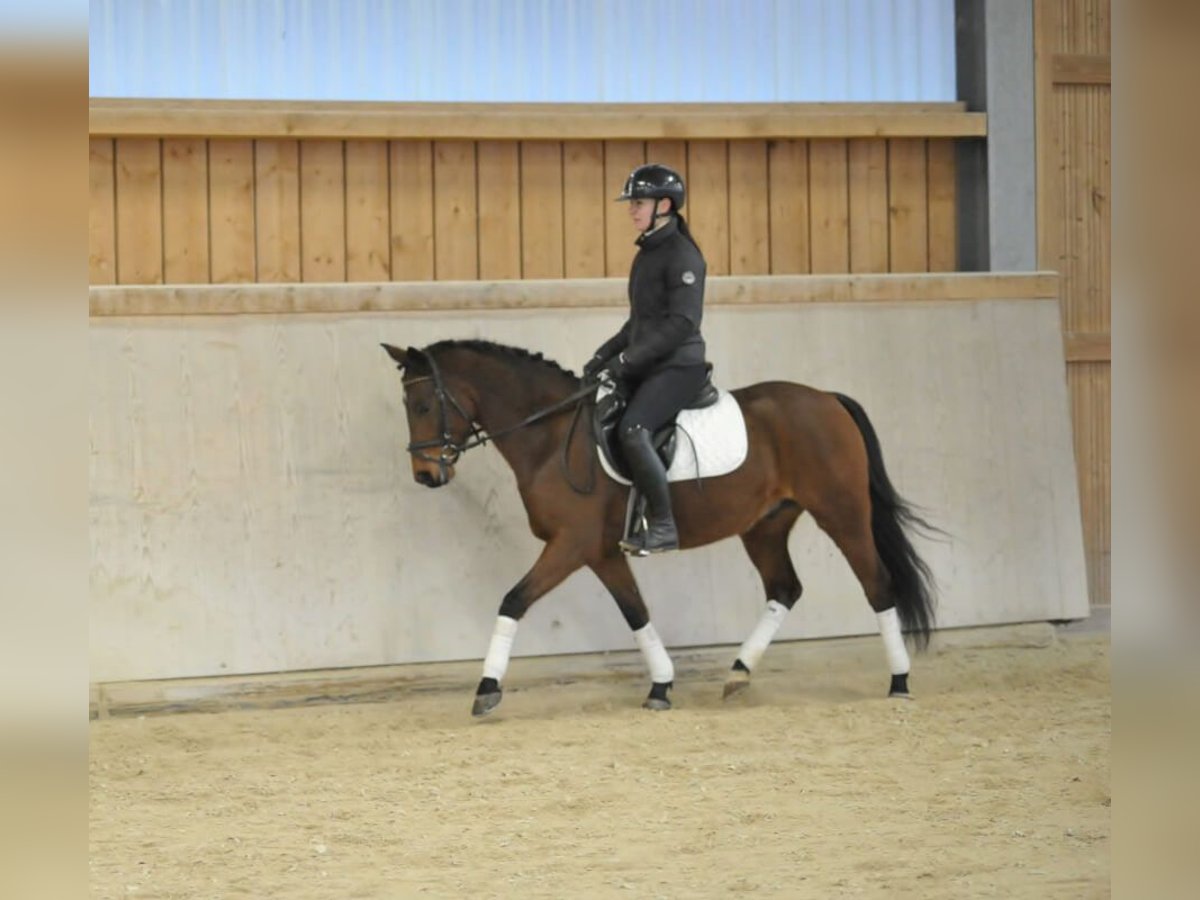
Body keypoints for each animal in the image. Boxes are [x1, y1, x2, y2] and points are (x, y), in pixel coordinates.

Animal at [381, 340, 936, 720]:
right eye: (407, 407)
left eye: (424, 405)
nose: (426, 474)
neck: (551, 437)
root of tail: (827, 398)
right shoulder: (601, 552)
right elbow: (636, 612)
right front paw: (661, 686)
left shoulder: (570, 545)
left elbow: (513, 600)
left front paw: (487, 689)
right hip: (765, 526)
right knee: (785, 588)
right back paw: (738, 674)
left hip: (841, 513)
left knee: (877, 585)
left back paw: (899, 680)